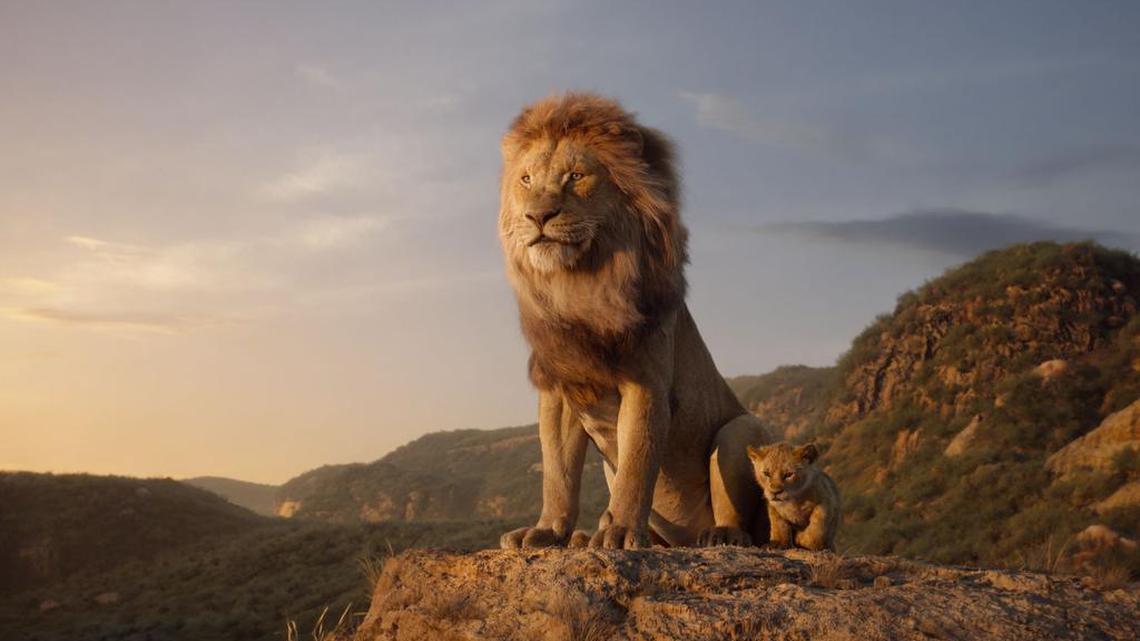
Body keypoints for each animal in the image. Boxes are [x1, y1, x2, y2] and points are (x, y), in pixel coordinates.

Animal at [496, 93, 776, 550]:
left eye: (576, 177)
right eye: (526, 179)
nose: (538, 216)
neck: (579, 284)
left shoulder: (646, 383)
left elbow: (637, 464)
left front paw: (622, 531)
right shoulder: (560, 389)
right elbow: (558, 473)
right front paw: (547, 530)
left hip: (741, 429)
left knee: (743, 519)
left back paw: (719, 535)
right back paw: (585, 537)